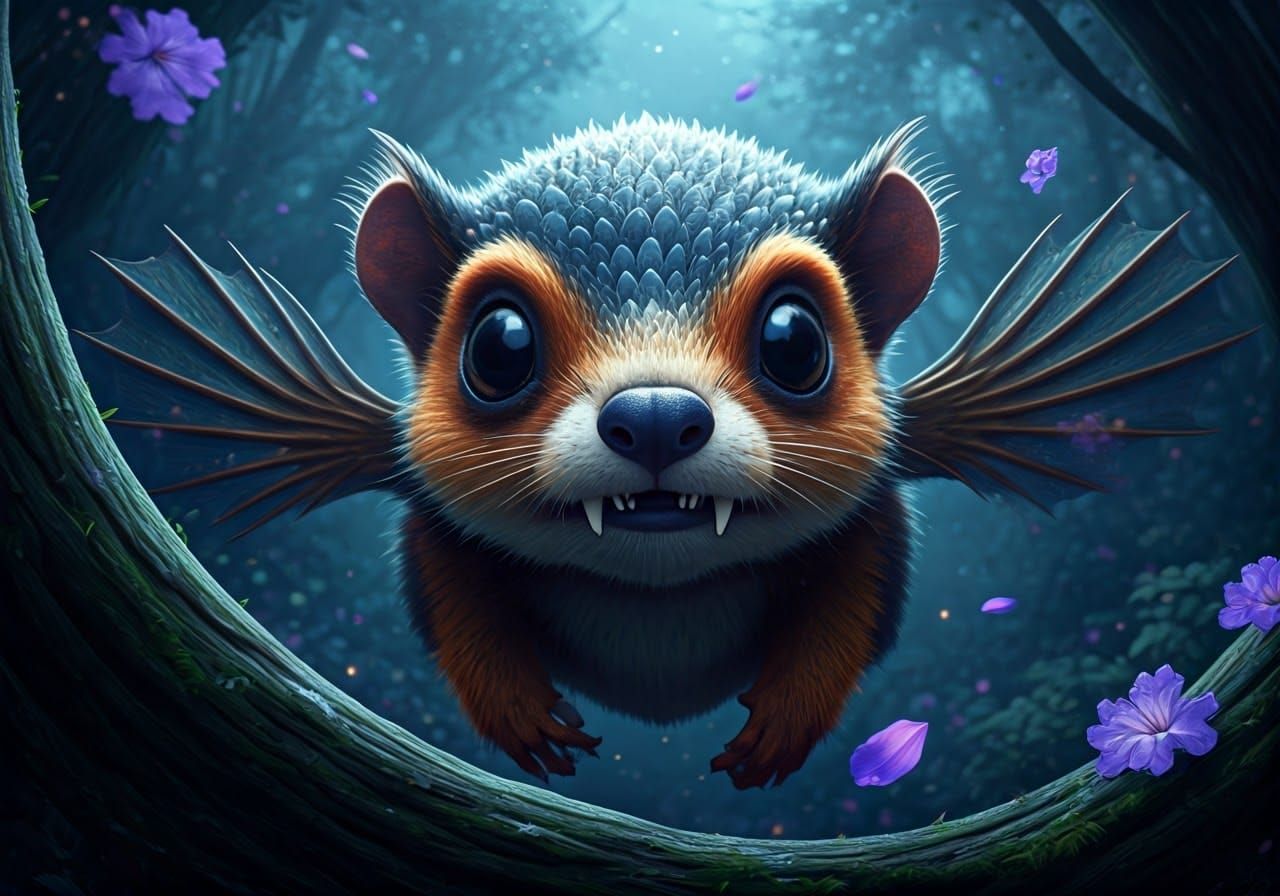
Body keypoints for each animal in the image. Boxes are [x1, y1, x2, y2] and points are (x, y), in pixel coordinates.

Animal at [82, 114, 1251, 788]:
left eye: (794, 341)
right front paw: (525, 720)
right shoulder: (429, 514)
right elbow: (455, 601)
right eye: (499, 347)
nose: (652, 417)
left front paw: (779, 730)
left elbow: (853, 602)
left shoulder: (875, 510)